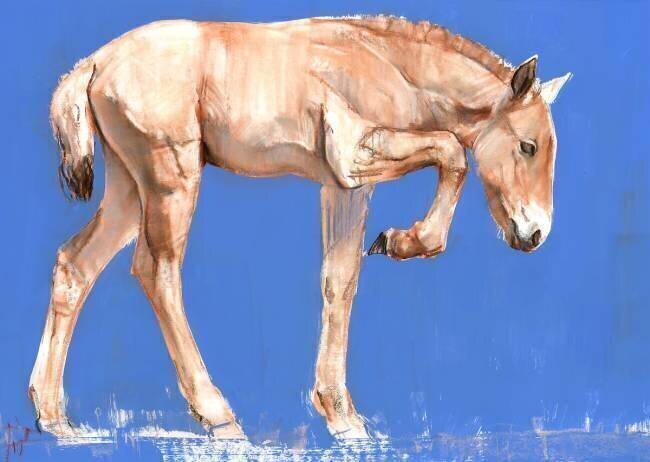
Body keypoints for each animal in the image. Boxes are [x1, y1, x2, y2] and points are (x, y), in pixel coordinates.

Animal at [30, 16, 570, 440]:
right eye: (528, 146)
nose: (535, 234)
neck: (387, 63)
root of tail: (94, 63)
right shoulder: (356, 157)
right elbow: (452, 152)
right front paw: (404, 241)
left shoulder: (344, 187)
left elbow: (340, 280)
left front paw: (342, 416)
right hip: (171, 182)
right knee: (156, 271)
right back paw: (217, 415)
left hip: (128, 190)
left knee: (75, 265)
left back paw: (54, 418)